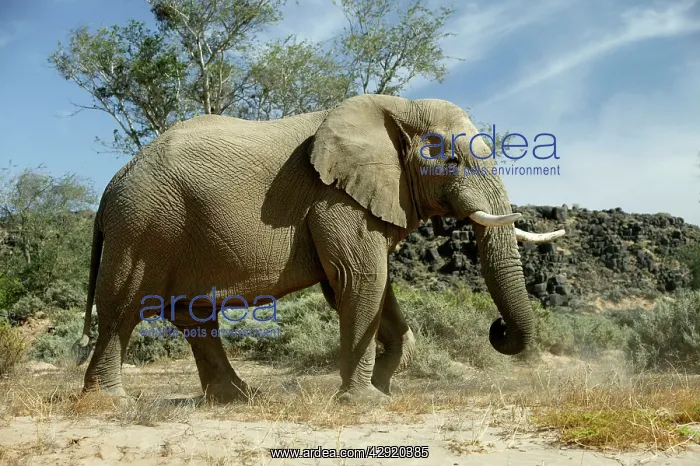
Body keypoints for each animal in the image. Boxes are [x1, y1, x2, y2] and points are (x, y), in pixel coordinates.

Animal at [76, 93, 565, 404]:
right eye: (449, 159)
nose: (497, 329)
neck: (396, 107)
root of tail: (109, 189)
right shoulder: (334, 198)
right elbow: (360, 279)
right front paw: (365, 400)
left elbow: (371, 287)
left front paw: (381, 389)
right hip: (144, 226)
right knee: (122, 308)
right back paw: (111, 403)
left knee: (193, 315)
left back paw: (238, 398)